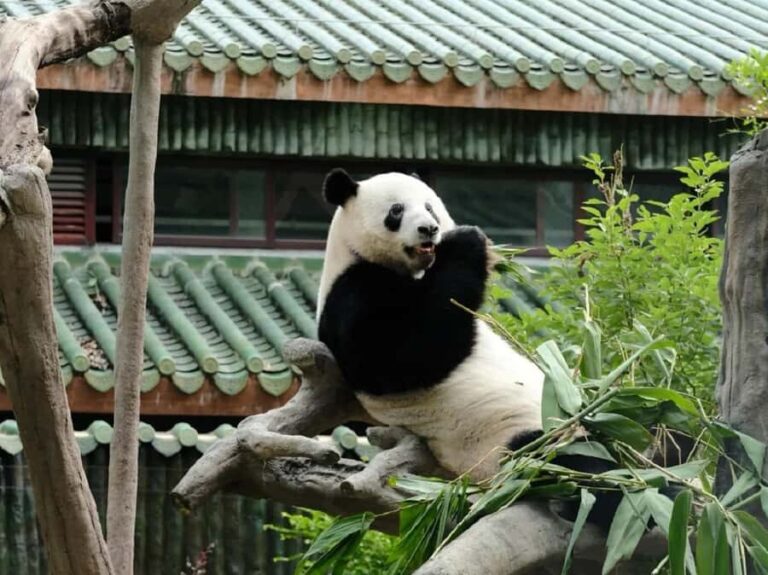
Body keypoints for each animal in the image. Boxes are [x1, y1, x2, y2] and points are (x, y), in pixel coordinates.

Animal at [316, 168, 546, 483]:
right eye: (396, 210)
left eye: (429, 207)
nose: (429, 229)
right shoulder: (351, 295)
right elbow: (404, 356)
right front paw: (467, 240)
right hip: (508, 441)